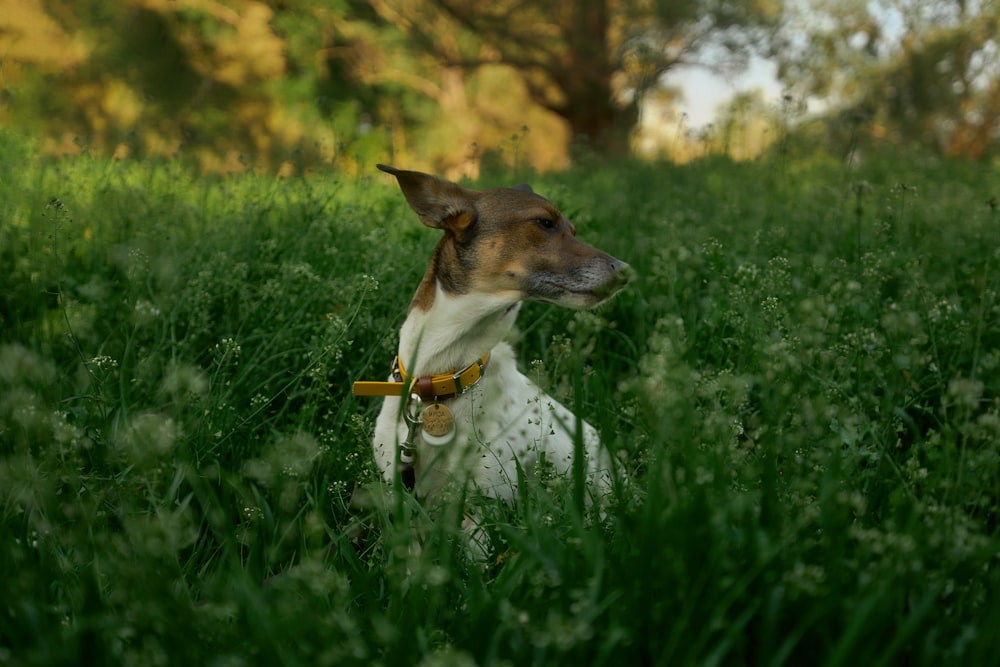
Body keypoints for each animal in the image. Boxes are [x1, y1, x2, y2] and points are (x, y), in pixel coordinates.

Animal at [356, 163, 628, 516]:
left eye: (573, 230)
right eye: (545, 223)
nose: (624, 271)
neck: (440, 378)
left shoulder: (484, 502)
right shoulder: (396, 485)